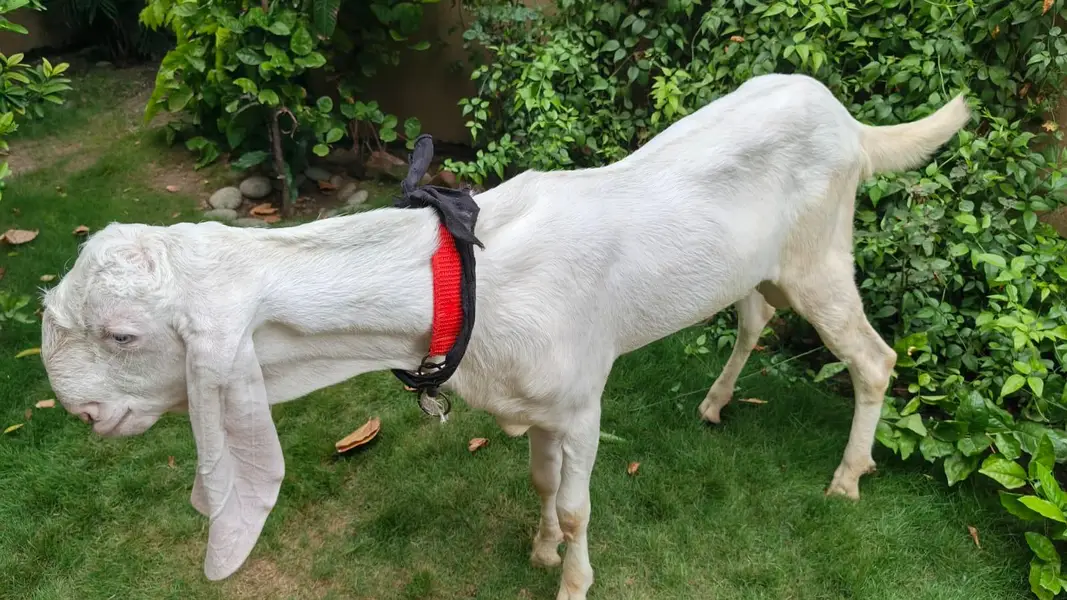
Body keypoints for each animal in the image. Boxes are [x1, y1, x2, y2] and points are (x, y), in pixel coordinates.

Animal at [40, 73, 970, 599]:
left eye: (122, 335)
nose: (77, 413)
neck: (466, 280)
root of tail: (847, 121)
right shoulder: (537, 405)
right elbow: (538, 480)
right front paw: (539, 548)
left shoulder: (582, 401)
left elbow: (577, 497)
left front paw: (572, 580)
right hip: (763, 265)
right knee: (756, 317)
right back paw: (713, 403)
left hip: (822, 255)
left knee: (873, 359)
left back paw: (846, 478)